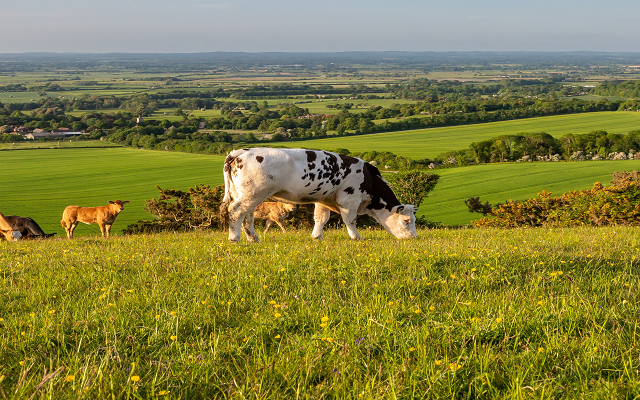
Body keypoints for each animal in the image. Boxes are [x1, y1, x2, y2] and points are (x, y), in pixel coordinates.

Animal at [222, 148, 418, 244]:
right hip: (253, 193)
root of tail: (242, 151)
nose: (413, 238)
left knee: (247, 215)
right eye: (406, 221)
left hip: (247, 194)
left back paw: (253, 238)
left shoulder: (324, 199)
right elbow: (350, 220)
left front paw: (316, 237)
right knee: (236, 211)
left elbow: (321, 218)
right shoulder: (349, 198)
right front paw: (356, 237)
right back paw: (234, 238)